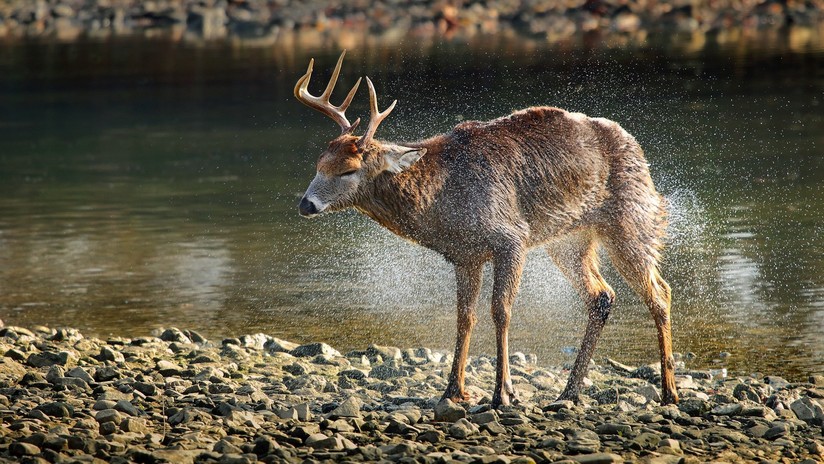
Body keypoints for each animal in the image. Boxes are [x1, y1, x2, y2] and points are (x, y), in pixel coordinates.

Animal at [292, 50, 680, 406]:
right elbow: (465, 317)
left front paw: (503, 392)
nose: (305, 204)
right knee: (602, 295)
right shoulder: (465, 256)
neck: (443, 202)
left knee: (660, 291)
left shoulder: (512, 237)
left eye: (348, 170)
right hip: (569, 240)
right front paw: (453, 390)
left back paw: (669, 392)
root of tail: (636, 147)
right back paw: (568, 393)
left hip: (631, 218)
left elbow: (501, 310)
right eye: (319, 163)